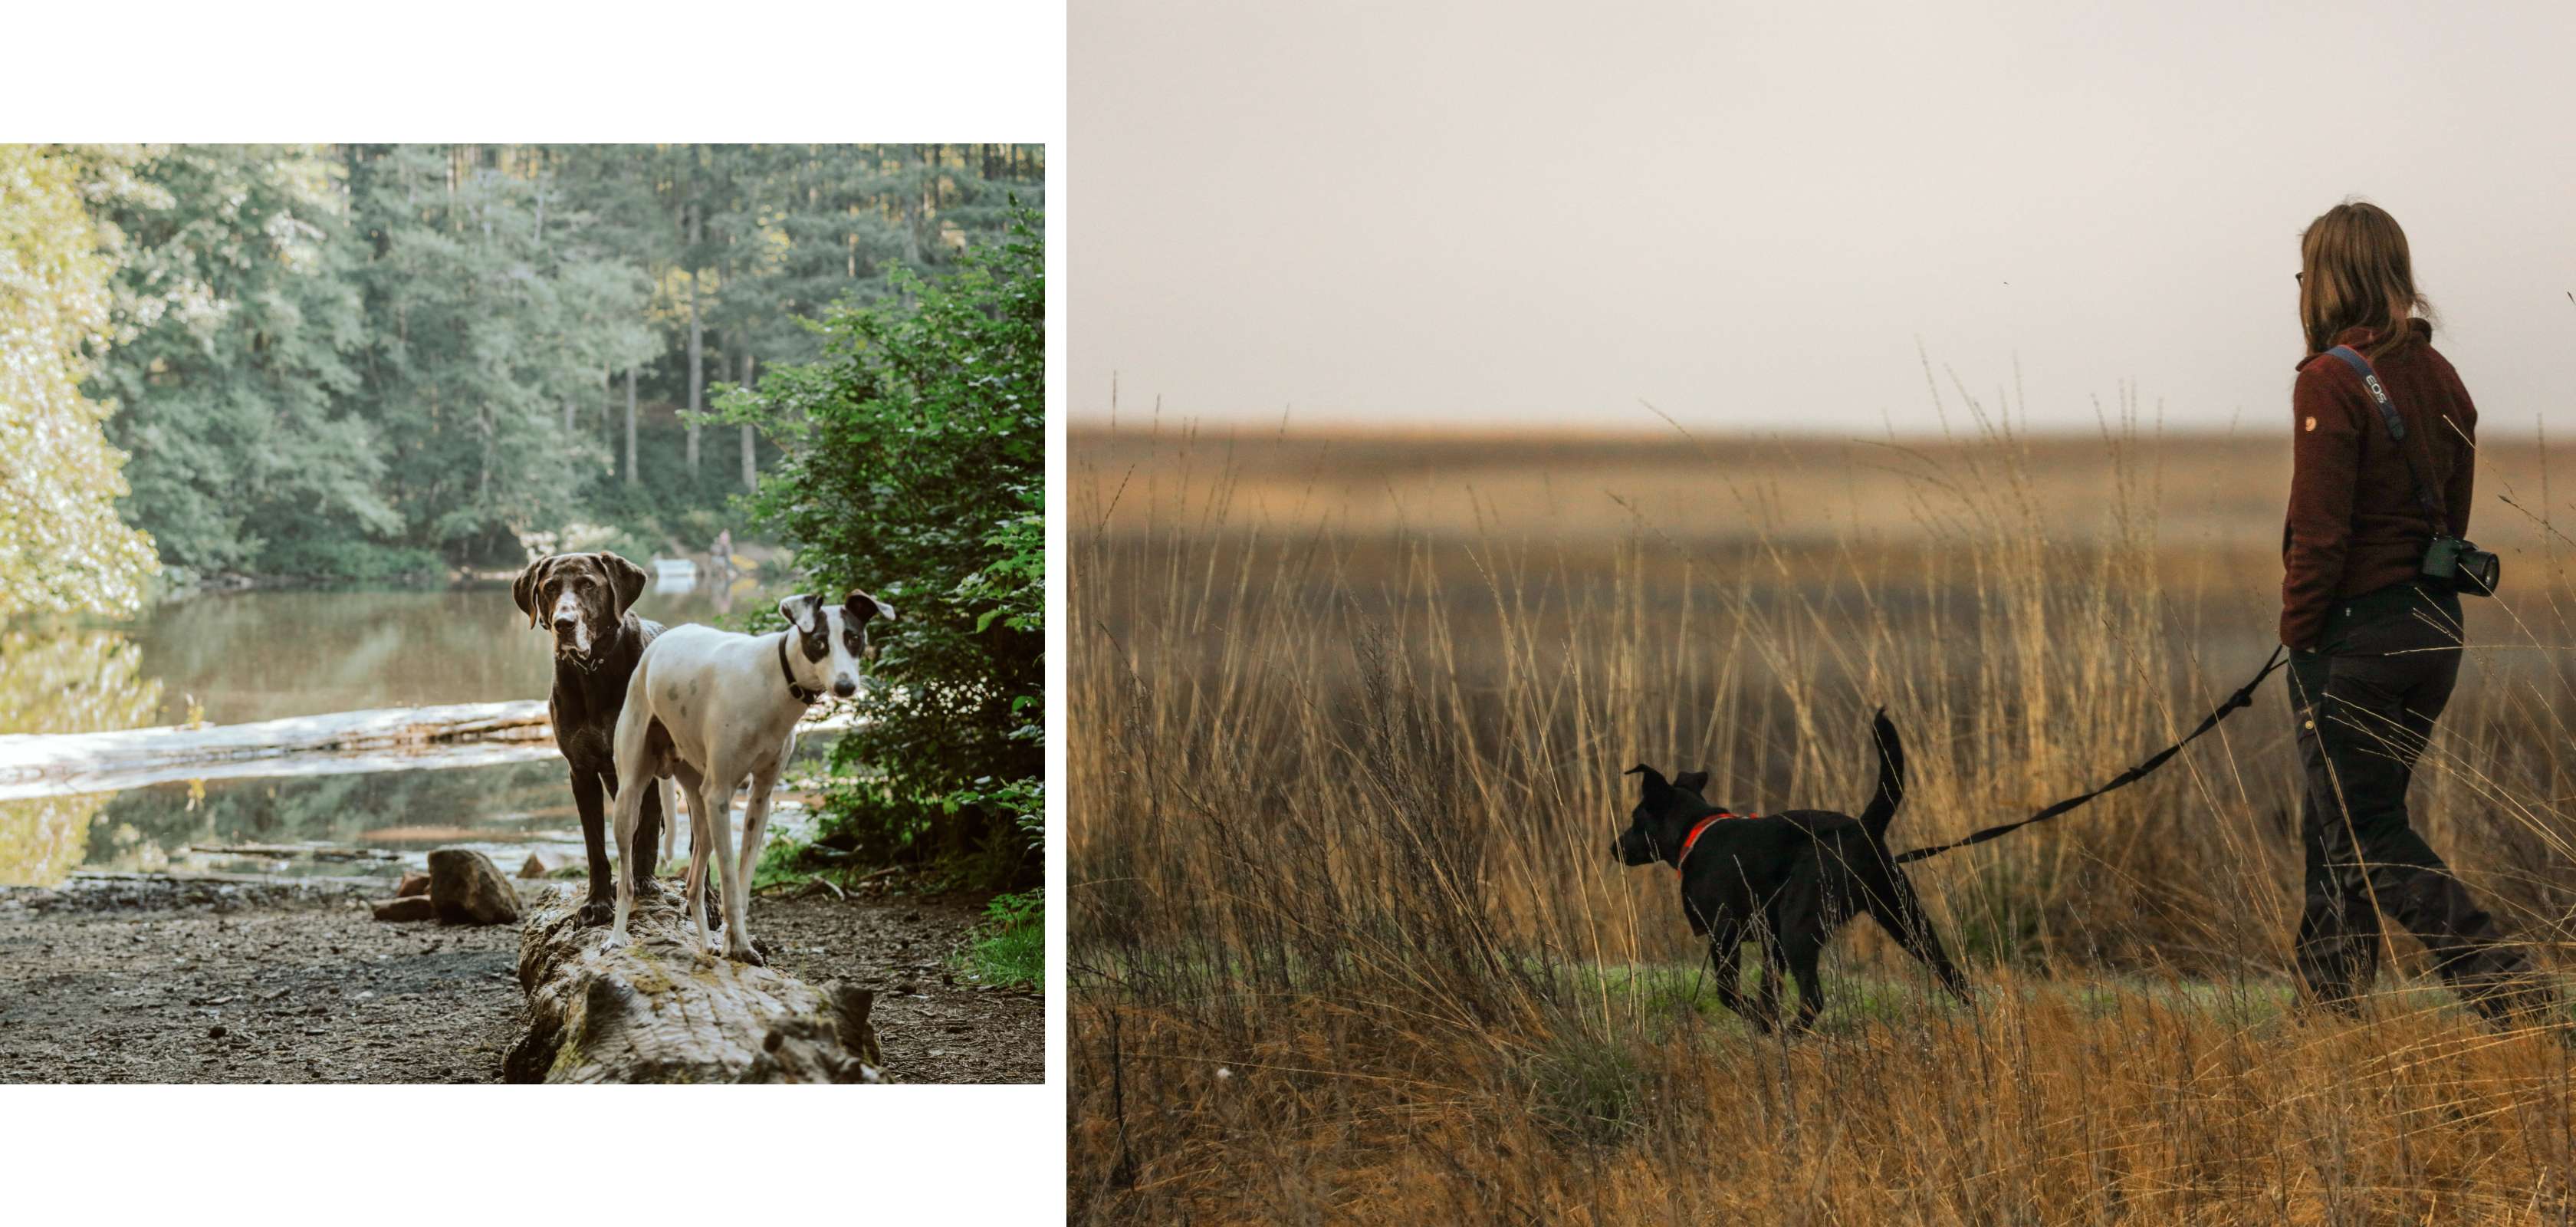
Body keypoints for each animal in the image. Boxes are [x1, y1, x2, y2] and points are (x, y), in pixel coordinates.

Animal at [603, 590, 896, 964]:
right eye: (818, 642)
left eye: (854, 638)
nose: (846, 686)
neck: (773, 681)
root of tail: (657, 645)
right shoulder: (721, 794)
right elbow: (729, 879)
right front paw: (741, 946)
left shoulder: (761, 797)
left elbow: (742, 884)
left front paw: (733, 944)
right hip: (631, 799)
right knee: (626, 881)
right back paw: (616, 938)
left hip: (701, 811)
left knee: (693, 885)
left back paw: (707, 944)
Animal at [1607, 711, 1968, 1036]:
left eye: (1636, 818)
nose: (1614, 847)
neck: (1695, 832)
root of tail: (1863, 828)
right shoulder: (1772, 941)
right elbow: (1769, 991)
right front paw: (1767, 1025)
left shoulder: (1725, 932)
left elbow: (1728, 991)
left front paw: (1761, 1022)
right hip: (1904, 918)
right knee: (1952, 973)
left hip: (1800, 926)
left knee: (1814, 997)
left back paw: (1793, 1034)